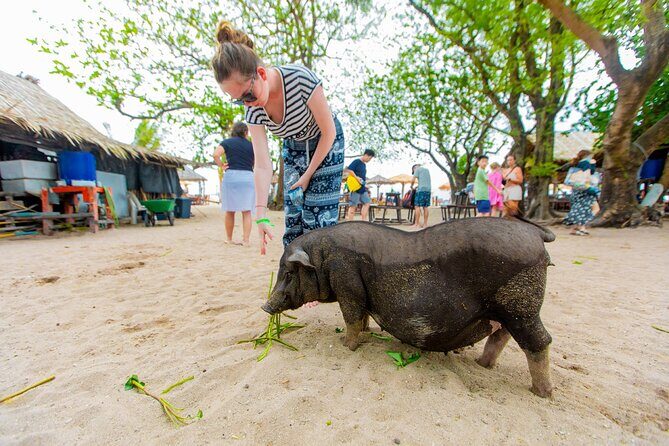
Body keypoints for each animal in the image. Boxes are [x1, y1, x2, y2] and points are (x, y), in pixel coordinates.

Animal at [262, 217, 556, 397]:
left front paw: (347, 347)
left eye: (289, 273)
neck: (322, 258)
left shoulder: (346, 282)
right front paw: (367, 334)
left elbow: (352, 317)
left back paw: (542, 393)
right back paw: (482, 364)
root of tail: (534, 232)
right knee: (501, 336)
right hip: (509, 312)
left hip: (521, 307)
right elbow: (363, 317)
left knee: (539, 342)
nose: (265, 306)